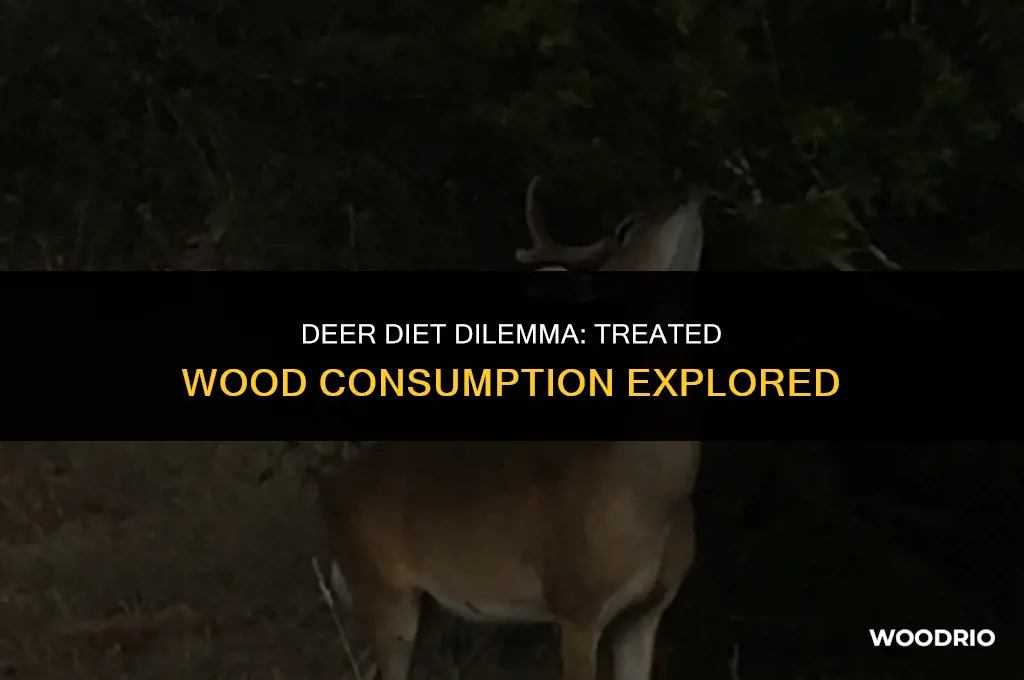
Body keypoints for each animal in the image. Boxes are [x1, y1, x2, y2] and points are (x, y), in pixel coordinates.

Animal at [319, 175, 706, 680]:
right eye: (626, 228)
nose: (690, 192)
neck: (651, 493)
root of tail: (330, 490)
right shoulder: (575, 605)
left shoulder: (646, 615)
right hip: (383, 592)